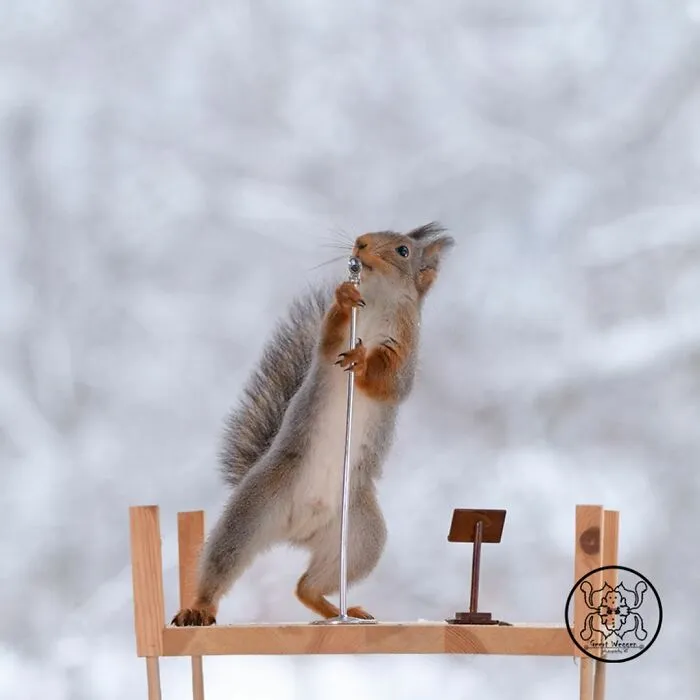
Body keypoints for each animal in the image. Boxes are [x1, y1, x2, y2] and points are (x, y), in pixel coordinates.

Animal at [171, 222, 454, 625]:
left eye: (403, 251)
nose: (360, 244)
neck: (379, 302)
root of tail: (297, 531)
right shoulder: (327, 347)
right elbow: (330, 336)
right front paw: (344, 296)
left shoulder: (406, 349)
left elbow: (390, 383)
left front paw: (363, 361)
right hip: (250, 513)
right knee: (221, 565)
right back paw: (199, 606)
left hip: (360, 538)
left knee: (307, 586)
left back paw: (340, 610)